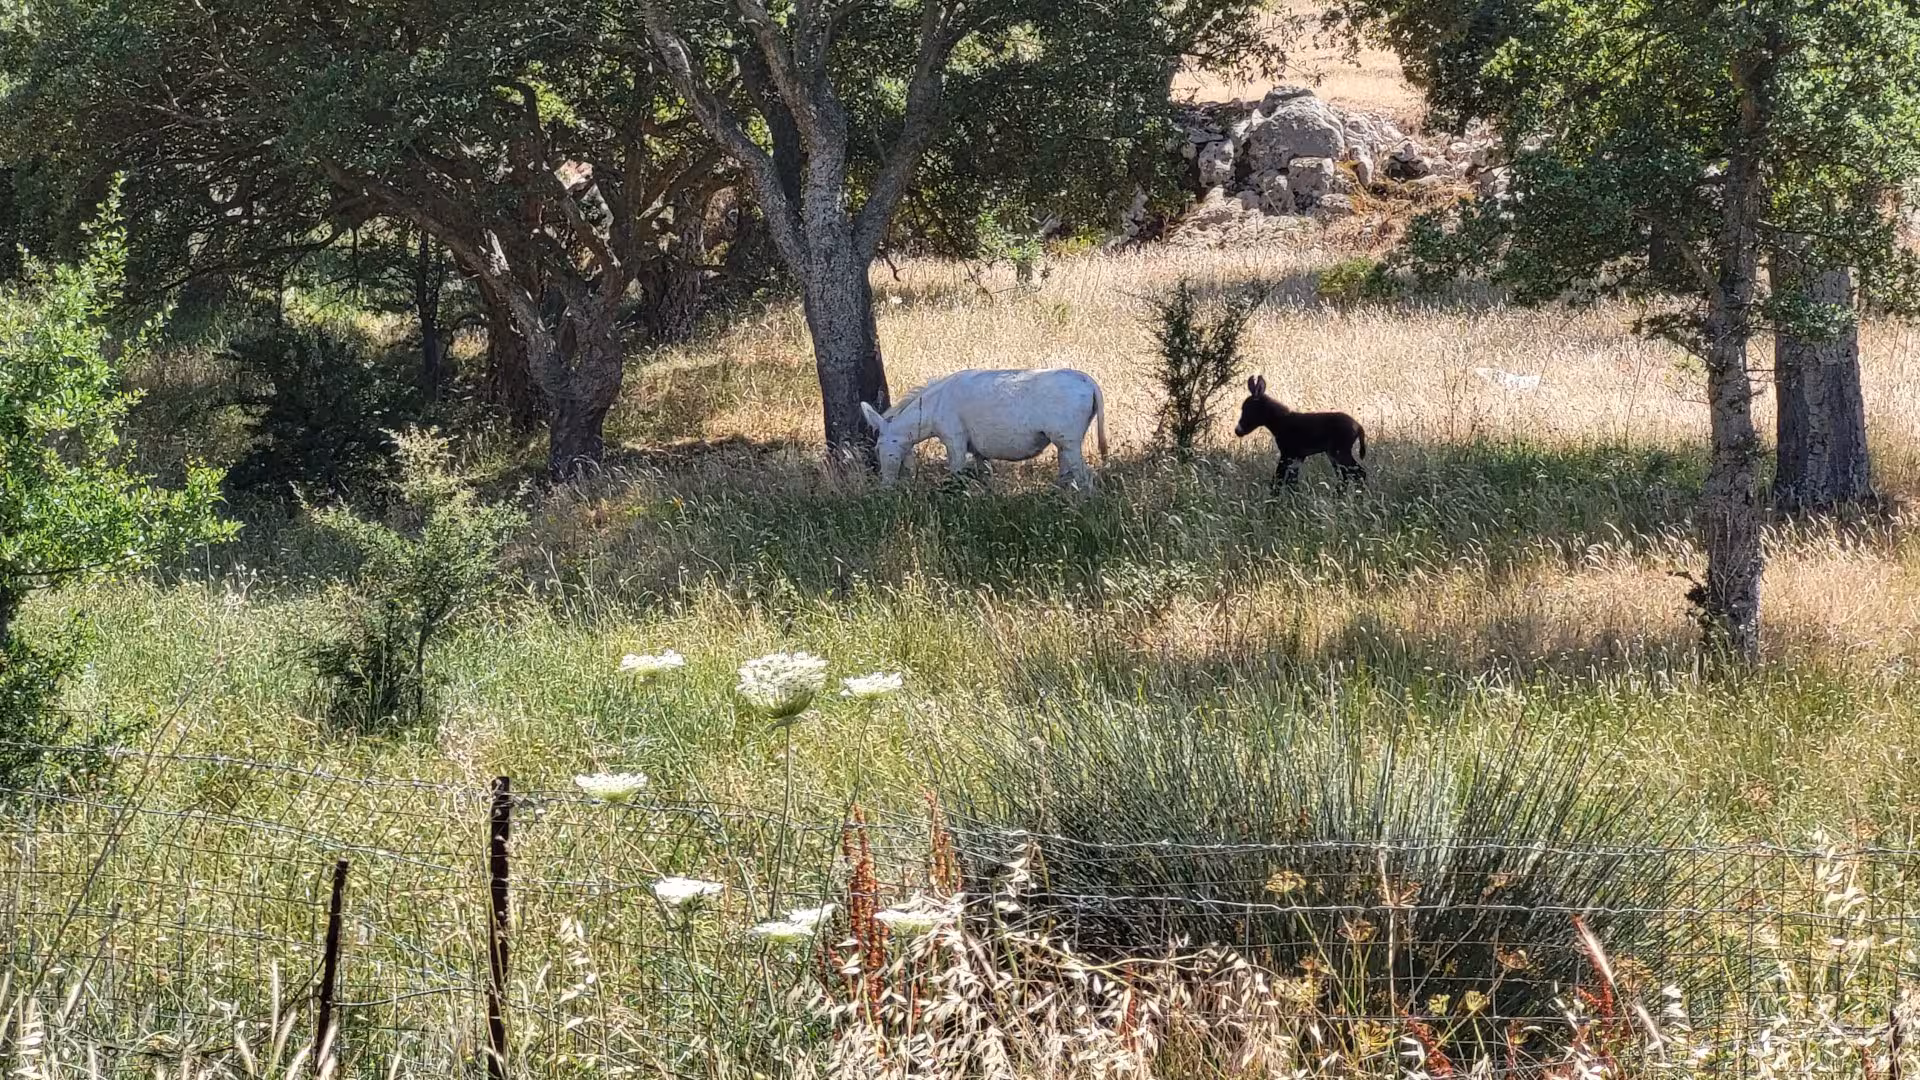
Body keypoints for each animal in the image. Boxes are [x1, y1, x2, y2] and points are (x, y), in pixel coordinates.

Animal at [859, 368, 1109, 489]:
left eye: (879, 449)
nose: (885, 487)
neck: (934, 406)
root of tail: (1088, 381)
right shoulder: (978, 451)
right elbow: (985, 478)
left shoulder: (955, 440)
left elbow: (956, 473)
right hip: (1064, 445)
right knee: (1069, 477)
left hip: (1069, 442)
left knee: (1086, 478)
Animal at [1232, 374, 1367, 487]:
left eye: (1248, 410)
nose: (1237, 431)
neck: (1281, 422)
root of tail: (1358, 425)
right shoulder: (1297, 457)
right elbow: (1291, 483)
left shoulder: (1287, 454)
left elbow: (1277, 480)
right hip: (1335, 454)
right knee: (1348, 477)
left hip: (1340, 453)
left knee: (1359, 473)